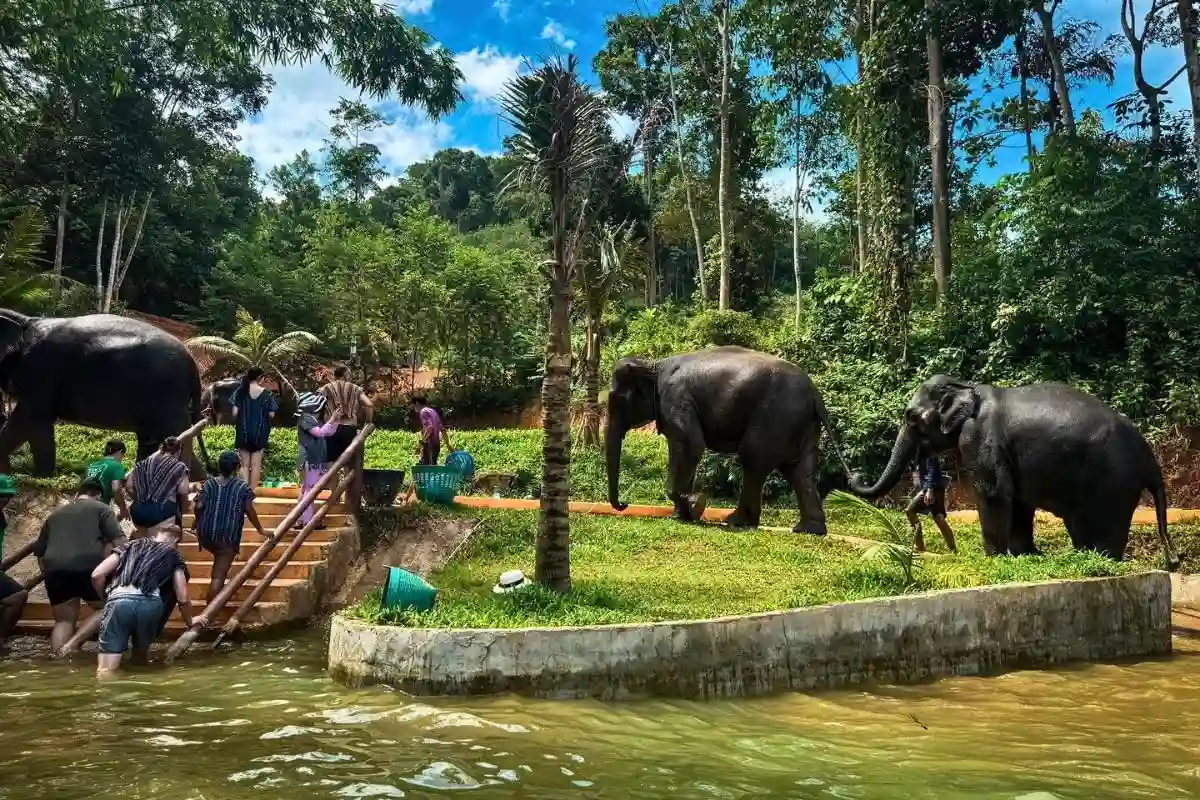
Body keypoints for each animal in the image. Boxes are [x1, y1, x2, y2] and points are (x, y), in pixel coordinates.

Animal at [0, 309, 211, 478]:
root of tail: (194, 367)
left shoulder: (40, 372)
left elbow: (30, 420)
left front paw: (39, 477)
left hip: (166, 392)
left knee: (173, 435)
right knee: (151, 438)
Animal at [606, 346, 852, 534]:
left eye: (616, 401)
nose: (624, 504)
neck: (653, 364)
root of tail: (815, 394)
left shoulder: (675, 398)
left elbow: (690, 445)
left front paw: (696, 505)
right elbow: (689, 449)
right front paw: (681, 516)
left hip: (776, 417)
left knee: (753, 459)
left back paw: (736, 522)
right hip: (802, 425)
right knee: (800, 471)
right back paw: (808, 530)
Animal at [848, 374, 1179, 569]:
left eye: (910, 417)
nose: (854, 475)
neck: (967, 386)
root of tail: (1150, 461)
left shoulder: (978, 436)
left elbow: (994, 491)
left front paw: (993, 557)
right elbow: (1019, 499)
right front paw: (1026, 555)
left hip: (1111, 482)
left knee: (1096, 523)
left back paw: (1096, 558)